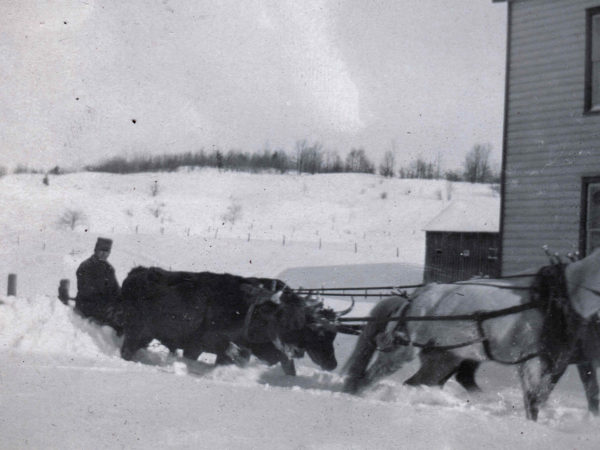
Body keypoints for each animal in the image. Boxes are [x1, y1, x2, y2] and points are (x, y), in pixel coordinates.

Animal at [344, 250, 600, 418]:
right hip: (401, 352)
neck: (563, 297)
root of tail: (416, 296)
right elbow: (534, 401)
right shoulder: (533, 361)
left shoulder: (561, 361)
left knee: (416, 382)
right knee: (367, 378)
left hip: (444, 358)